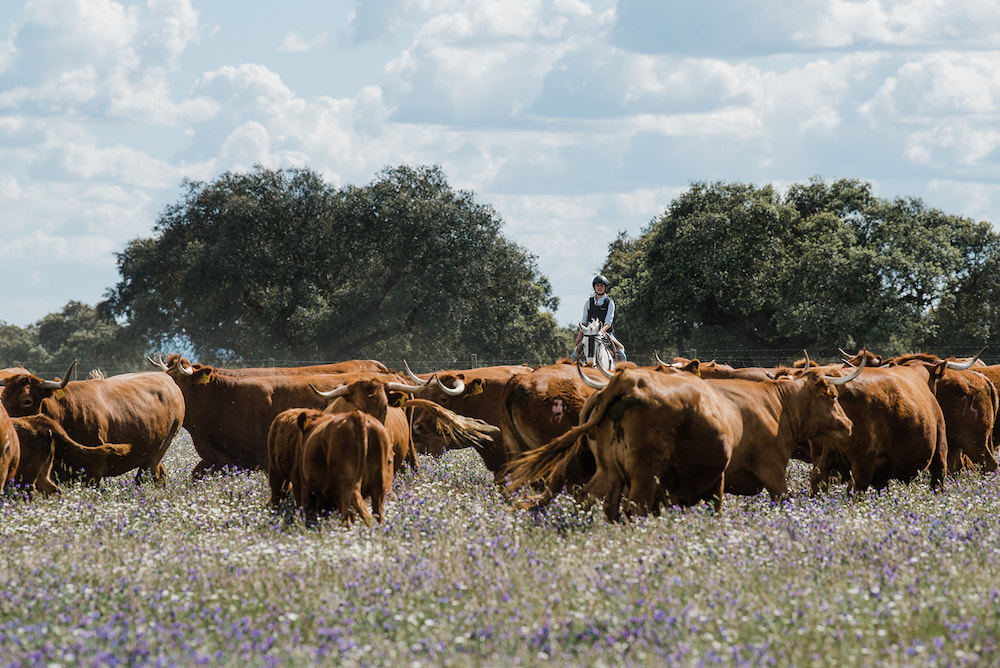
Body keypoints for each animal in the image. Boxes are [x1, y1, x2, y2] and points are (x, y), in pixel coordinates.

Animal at [0, 361, 184, 483]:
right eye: (3, 397)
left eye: (27, 400)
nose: (8, 426)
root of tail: (167, 379)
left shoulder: (95, 470)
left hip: (158, 451)